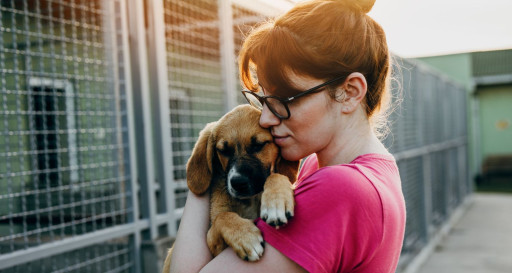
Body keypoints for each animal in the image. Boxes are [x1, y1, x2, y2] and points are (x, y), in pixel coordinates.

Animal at [163, 104, 300, 270]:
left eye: (258, 145)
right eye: (223, 151)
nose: (237, 183)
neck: (249, 201)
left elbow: (275, 176)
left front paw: (276, 202)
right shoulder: (212, 242)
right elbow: (222, 216)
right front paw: (245, 236)